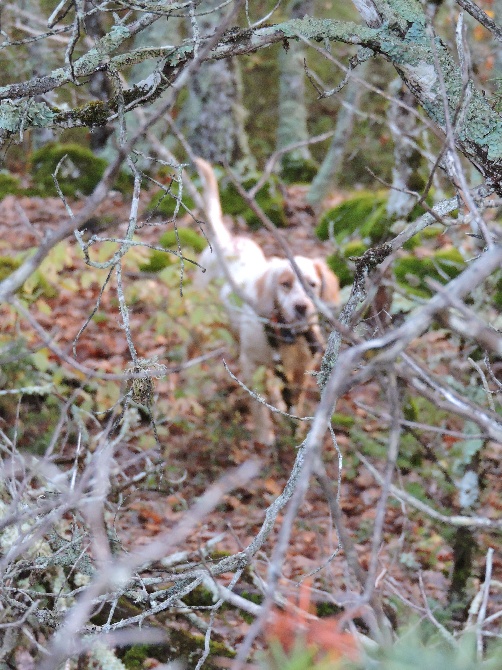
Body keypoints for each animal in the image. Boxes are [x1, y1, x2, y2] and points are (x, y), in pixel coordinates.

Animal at [194, 158, 340, 446]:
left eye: (312, 284)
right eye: (285, 284)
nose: (301, 307)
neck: (287, 336)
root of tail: (226, 241)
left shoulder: (301, 368)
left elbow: (294, 399)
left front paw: (295, 426)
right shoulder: (250, 364)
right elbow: (258, 405)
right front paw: (264, 436)